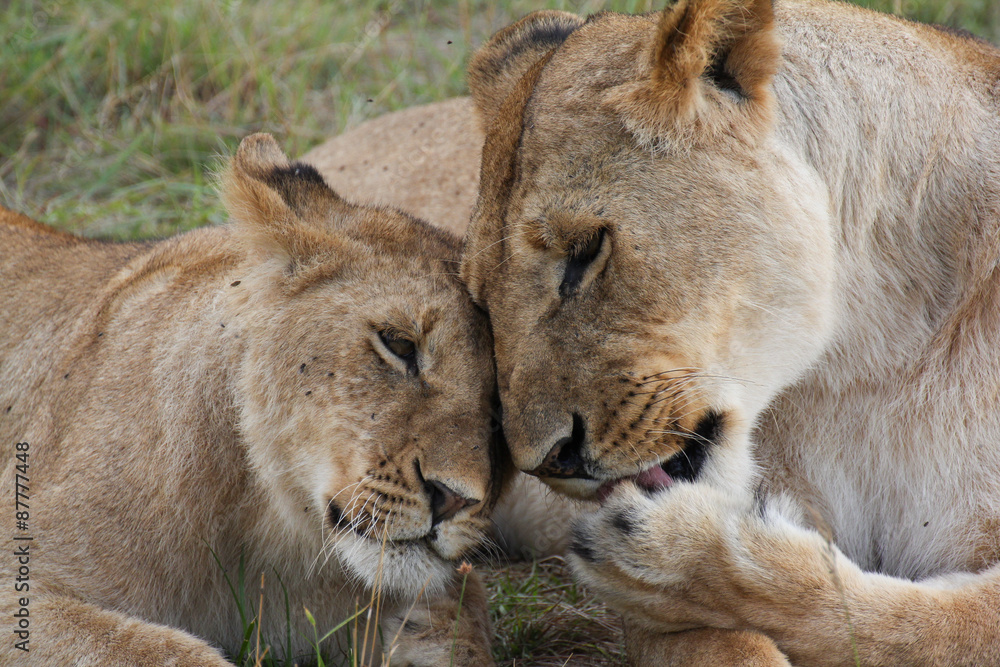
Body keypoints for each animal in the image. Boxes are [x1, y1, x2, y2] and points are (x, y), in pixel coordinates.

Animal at [0, 133, 505, 666]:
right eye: (400, 344)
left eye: (501, 411)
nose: (453, 499)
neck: (265, 528)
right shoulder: (21, 587)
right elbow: (167, 652)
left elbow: (461, 629)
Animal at [455, 1, 1000, 665]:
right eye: (480, 300)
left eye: (585, 251)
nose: (548, 461)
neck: (873, 346)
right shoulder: (663, 628)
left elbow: (935, 627)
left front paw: (668, 551)